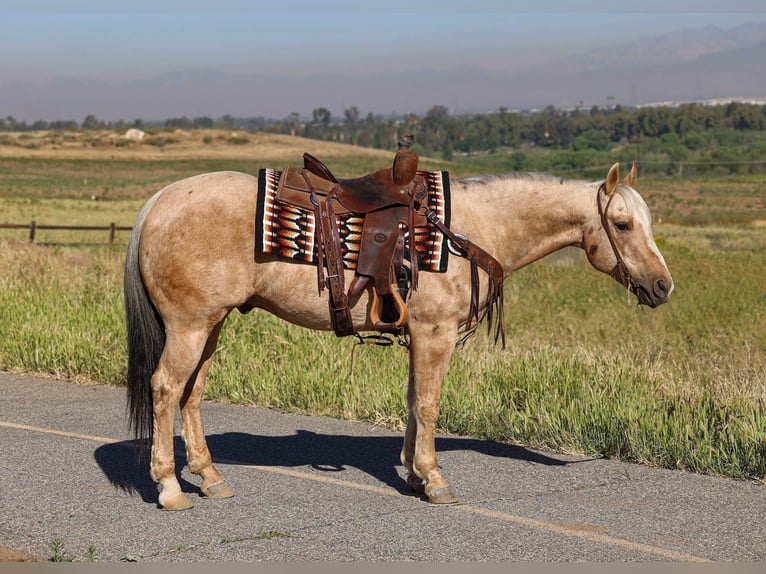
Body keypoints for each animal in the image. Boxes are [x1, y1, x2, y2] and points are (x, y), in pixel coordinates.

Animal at [124, 159, 673, 510]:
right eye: (622, 224)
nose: (662, 286)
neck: (470, 231)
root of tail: (158, 201)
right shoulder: (435, 334)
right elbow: (429, 404)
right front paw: (434, 479)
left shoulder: (420, 335)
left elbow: (412, 402)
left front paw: (412, 473)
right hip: (190, 328)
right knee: (166, 389)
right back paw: (170, 487)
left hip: (211, 326)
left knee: (192, 394)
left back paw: (210, 477)